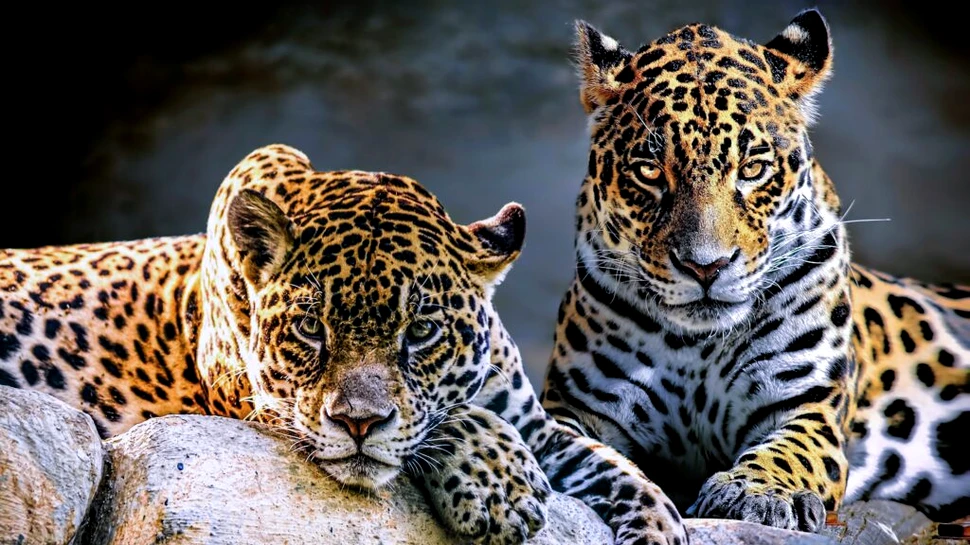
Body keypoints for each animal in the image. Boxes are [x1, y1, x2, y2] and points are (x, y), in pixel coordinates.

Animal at [0, 144, 688, 545]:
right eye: (311, 328)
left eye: (422, 331)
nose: (358, 424)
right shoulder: (254, 398)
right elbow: (451, 417)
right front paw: (500, 483)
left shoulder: (538, 423)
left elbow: (624, 472)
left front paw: (660, 528)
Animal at [539, 8, 969, 534]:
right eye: (650, 172)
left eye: (752, 168)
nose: (706, 266)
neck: (698, 347)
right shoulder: (571, 409)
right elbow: (587, 458)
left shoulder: (808, 405)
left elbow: (789, 452)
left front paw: (754, 493)